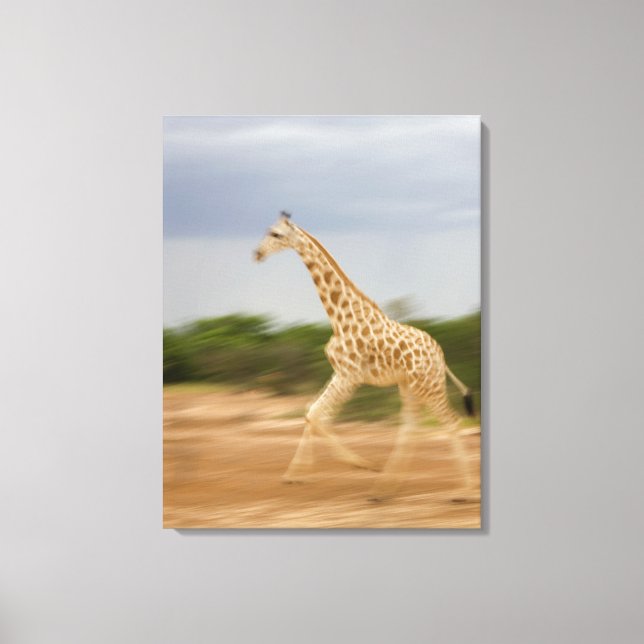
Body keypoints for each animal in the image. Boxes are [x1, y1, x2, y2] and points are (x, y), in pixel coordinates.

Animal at [254, 212, 477, 501]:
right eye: (268, 231)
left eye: (276, 234)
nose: (257, 253)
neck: (339, 318)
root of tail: (441, 357)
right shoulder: (340, 373)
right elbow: (312, 412)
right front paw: (295, 474)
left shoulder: (350, 377)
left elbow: (317, 415)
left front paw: (362, 464)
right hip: (409, 386)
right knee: (411, 428)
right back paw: (384, 490)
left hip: (428, 386)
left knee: (451, 423)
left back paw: (464, 492)